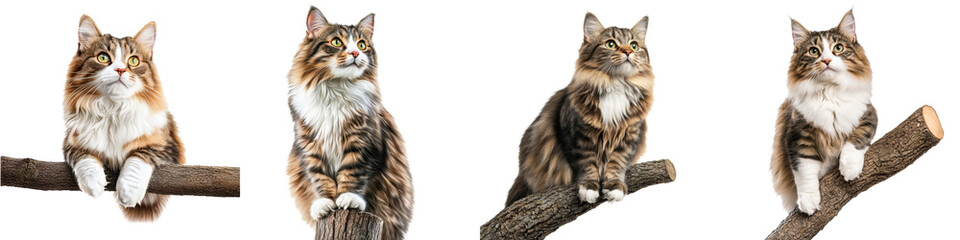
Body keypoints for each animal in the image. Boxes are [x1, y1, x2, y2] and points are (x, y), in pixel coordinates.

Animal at [64, 15, 186, 221]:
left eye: (134, 61)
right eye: (103, 57)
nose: (120, 70)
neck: (113, 109)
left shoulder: (166, 146)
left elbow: (139, 156)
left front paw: (129, 191)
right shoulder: (72, 141)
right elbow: (82, 156)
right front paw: (93, 183)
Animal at [284, 6, 412, 239]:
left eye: (362, 45)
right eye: (336, 42)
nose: (355, 53)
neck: (335, 88)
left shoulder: (363, 141)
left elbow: (353, 172)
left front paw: (348, 199)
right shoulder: (309, 142)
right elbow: (318, 175)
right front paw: (326, 202)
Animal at [506, 13, 656, 207]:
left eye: (634, 45)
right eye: (611, 44)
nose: (628, 52)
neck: (616, 84)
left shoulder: (630, 136)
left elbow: (617, 164)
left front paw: (614, 187)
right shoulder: (577, 135)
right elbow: (586, 164)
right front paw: (589, 188)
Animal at [772, 9, 876, 216]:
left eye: (838, 48)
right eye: (814, 51)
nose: (826, 60)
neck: (830, 91)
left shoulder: (868, 115)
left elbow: (857, 139)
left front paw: (850, 168)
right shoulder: (797, 134)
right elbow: (805, 170)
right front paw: (809, 200)